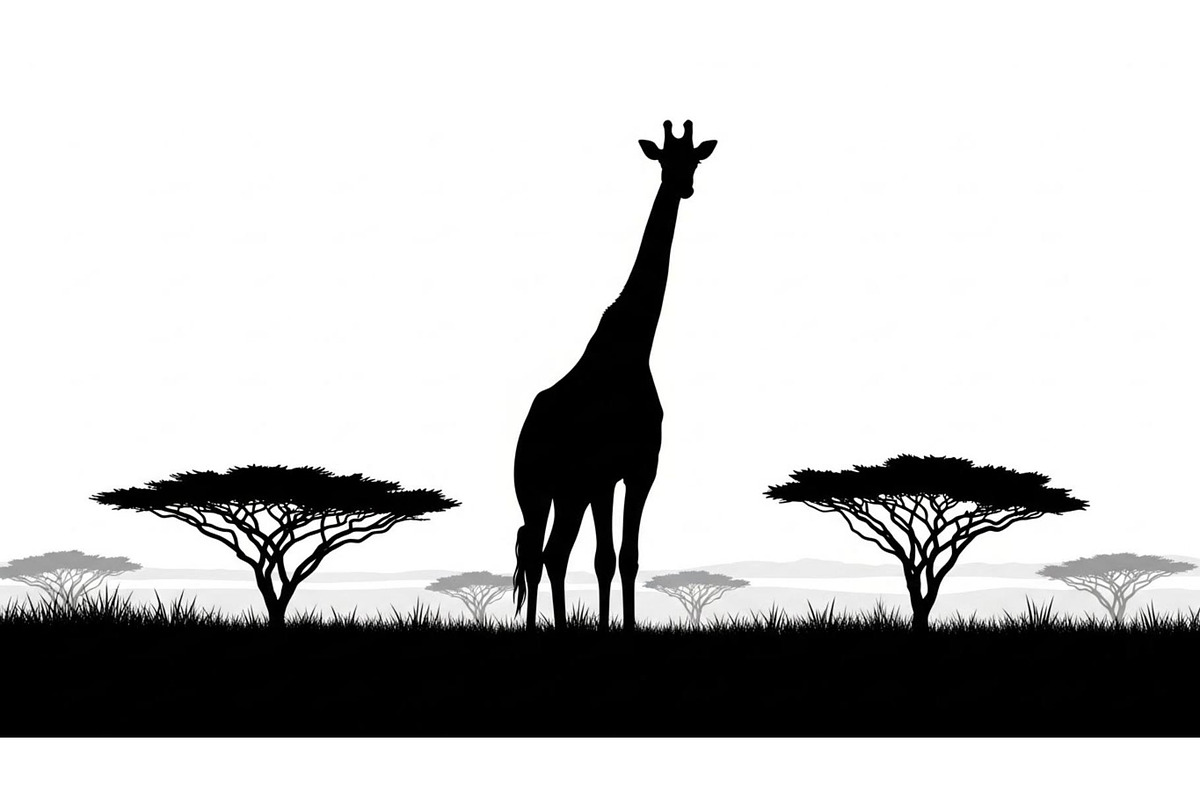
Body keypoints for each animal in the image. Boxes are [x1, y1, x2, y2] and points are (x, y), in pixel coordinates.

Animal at [513, 120, 717, 632]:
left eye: (695, 159)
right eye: (663, 159)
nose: (683, 187)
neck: (634, 349)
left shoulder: (640, 469)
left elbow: (628, 558)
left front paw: (619, 626)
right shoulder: (604, 473)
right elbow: (606, 558)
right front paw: (609, 628)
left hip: (569, 493)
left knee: (552, 554)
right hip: (536, 490)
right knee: (537, 555)